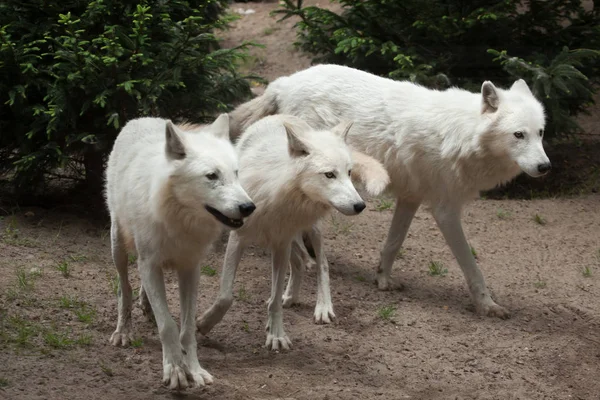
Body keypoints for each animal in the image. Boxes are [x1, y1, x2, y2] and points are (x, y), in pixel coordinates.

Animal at [104, 114, 254, 390]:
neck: (181, 219)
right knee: (124, 287)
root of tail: (141, 118)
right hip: (117, 245)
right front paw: (174, 369)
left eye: (236, 173)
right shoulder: (149, 263)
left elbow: (186, 329)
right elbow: (168, 326)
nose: (249, 207)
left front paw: (194, 370)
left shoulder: (190, 269)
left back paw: (146, 307)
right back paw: (123, 331)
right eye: (212, 176)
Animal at [197, 114, 390, 348]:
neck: (278, 193)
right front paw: (206, 323)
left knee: (321, 263)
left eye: (349, 172)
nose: (360, 205)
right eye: (329, 175)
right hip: (289, 238)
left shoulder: (281, 243)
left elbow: (275, 299)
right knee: (299, 262)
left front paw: (276, 335)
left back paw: (322, 307)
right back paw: (290, 297)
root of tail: (283, 115)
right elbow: (225, 296)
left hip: (310, 230)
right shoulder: (241, 238)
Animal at [230, 62, 552, 318]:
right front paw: (487, 305)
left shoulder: (410, 198)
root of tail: (284, 82)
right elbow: (471, 266)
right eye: (518, 135)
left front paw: (383, 279)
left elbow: (393, 242)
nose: (545, 166)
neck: (462, 136)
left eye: (540, 133)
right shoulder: (445, 211)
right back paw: (304, 261)